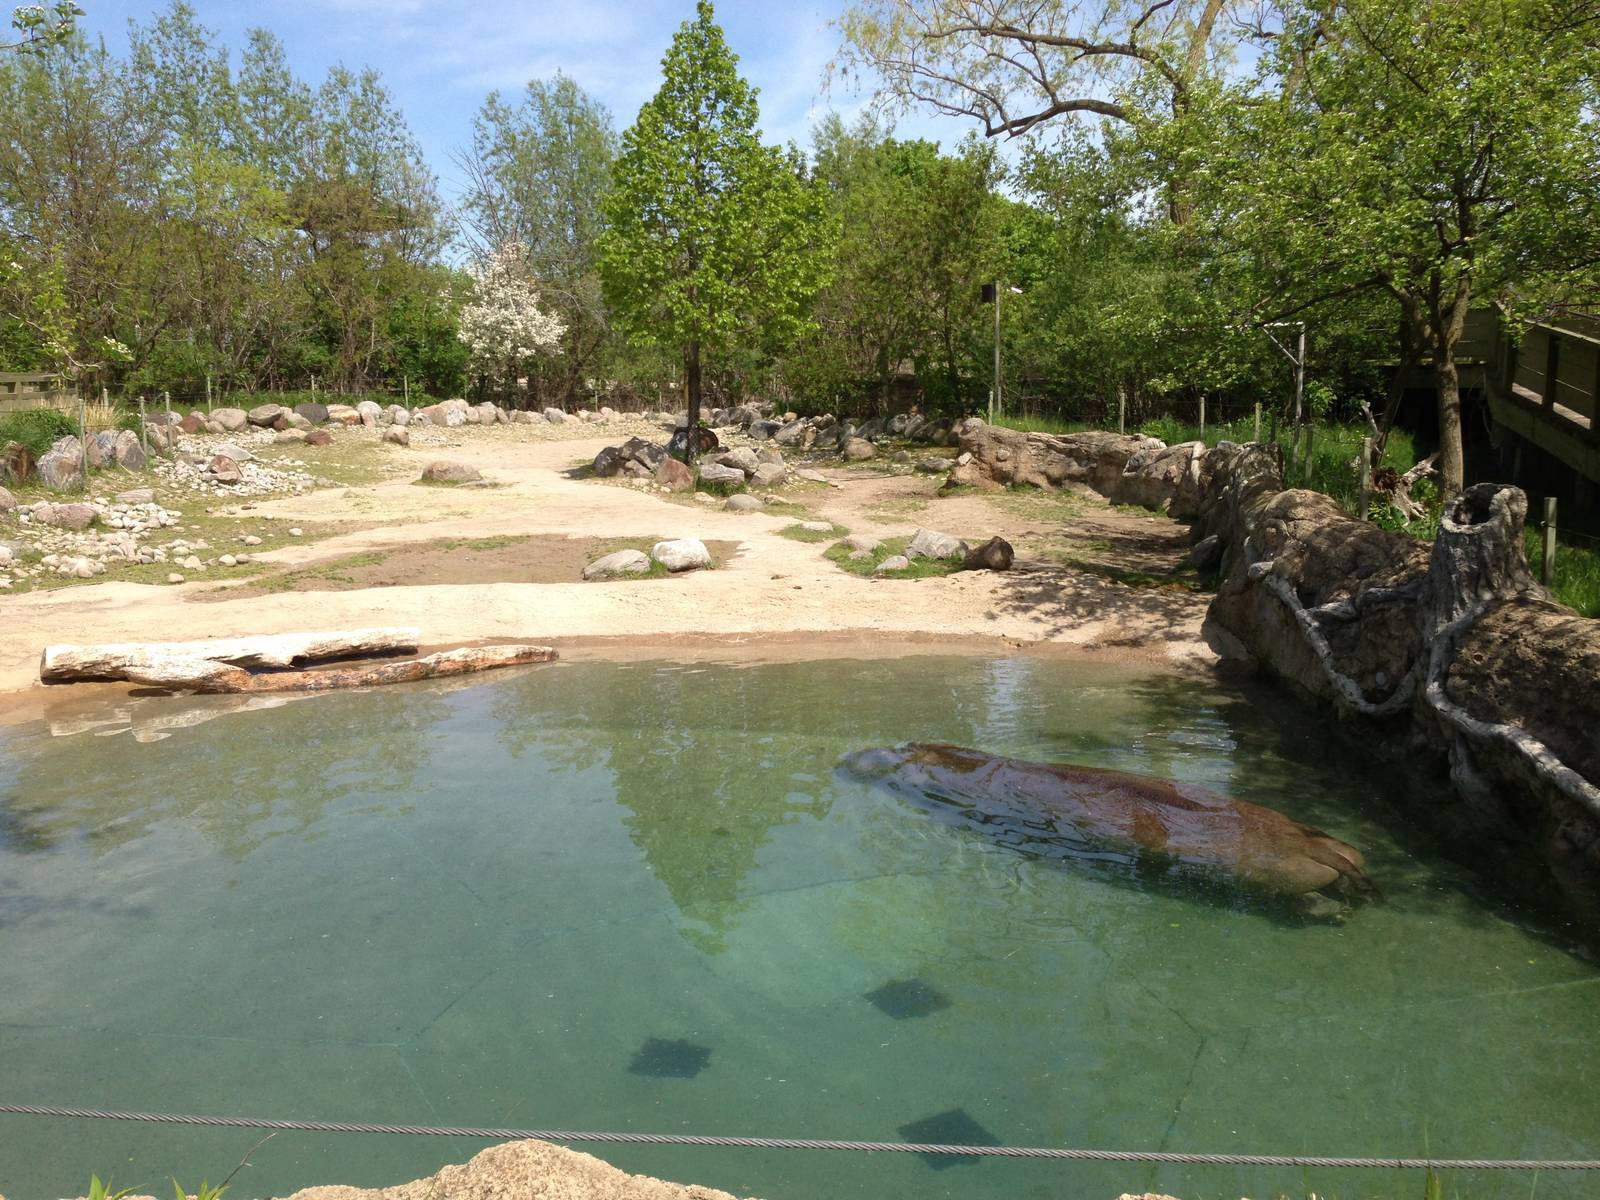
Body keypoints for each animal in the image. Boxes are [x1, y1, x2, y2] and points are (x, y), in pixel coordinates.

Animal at [839, 743, 1376, 918]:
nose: (851, 757)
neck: (958, 761)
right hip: (1335, 847)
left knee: (1305, 901)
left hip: (1275, 879)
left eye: (904, 757)